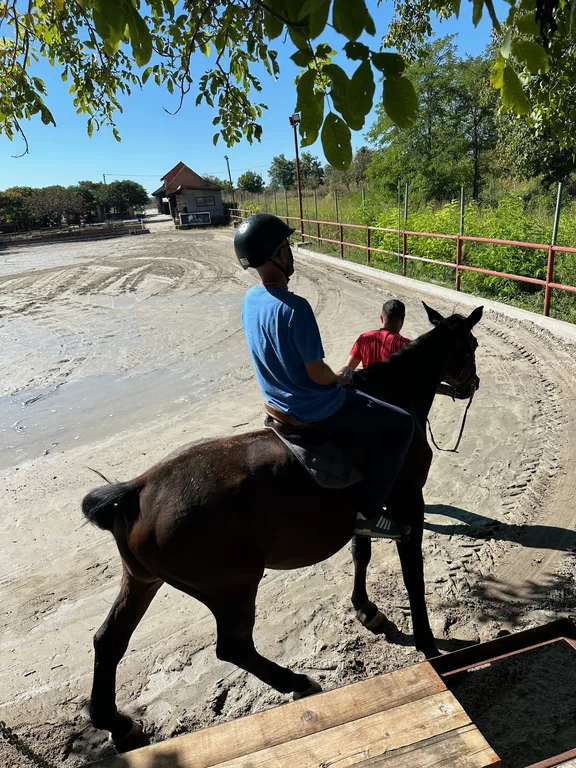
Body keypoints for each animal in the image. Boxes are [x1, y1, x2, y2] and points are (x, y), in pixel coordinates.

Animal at [82, 301, 482, 750]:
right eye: (472, 344)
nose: (473, 384)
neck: (392, 395)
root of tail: (137, 489)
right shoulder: (408, 503)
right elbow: (413, 577)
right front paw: (430, 645)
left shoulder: (366, 512)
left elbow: (360, 553)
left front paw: (367, 610)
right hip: (233, 586)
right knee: (233, 647)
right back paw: (296, 682)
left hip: (142, 580)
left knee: (109, 642)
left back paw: (118, 723)